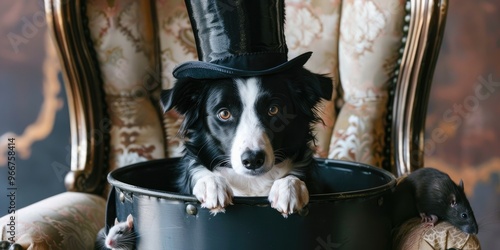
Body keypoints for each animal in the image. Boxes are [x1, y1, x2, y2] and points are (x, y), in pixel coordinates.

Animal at [161, 67, 332, 216]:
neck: (252, 183)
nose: (253, 160)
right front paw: (212, 184)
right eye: (224, 113)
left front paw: (289, 187)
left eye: (273, 109)